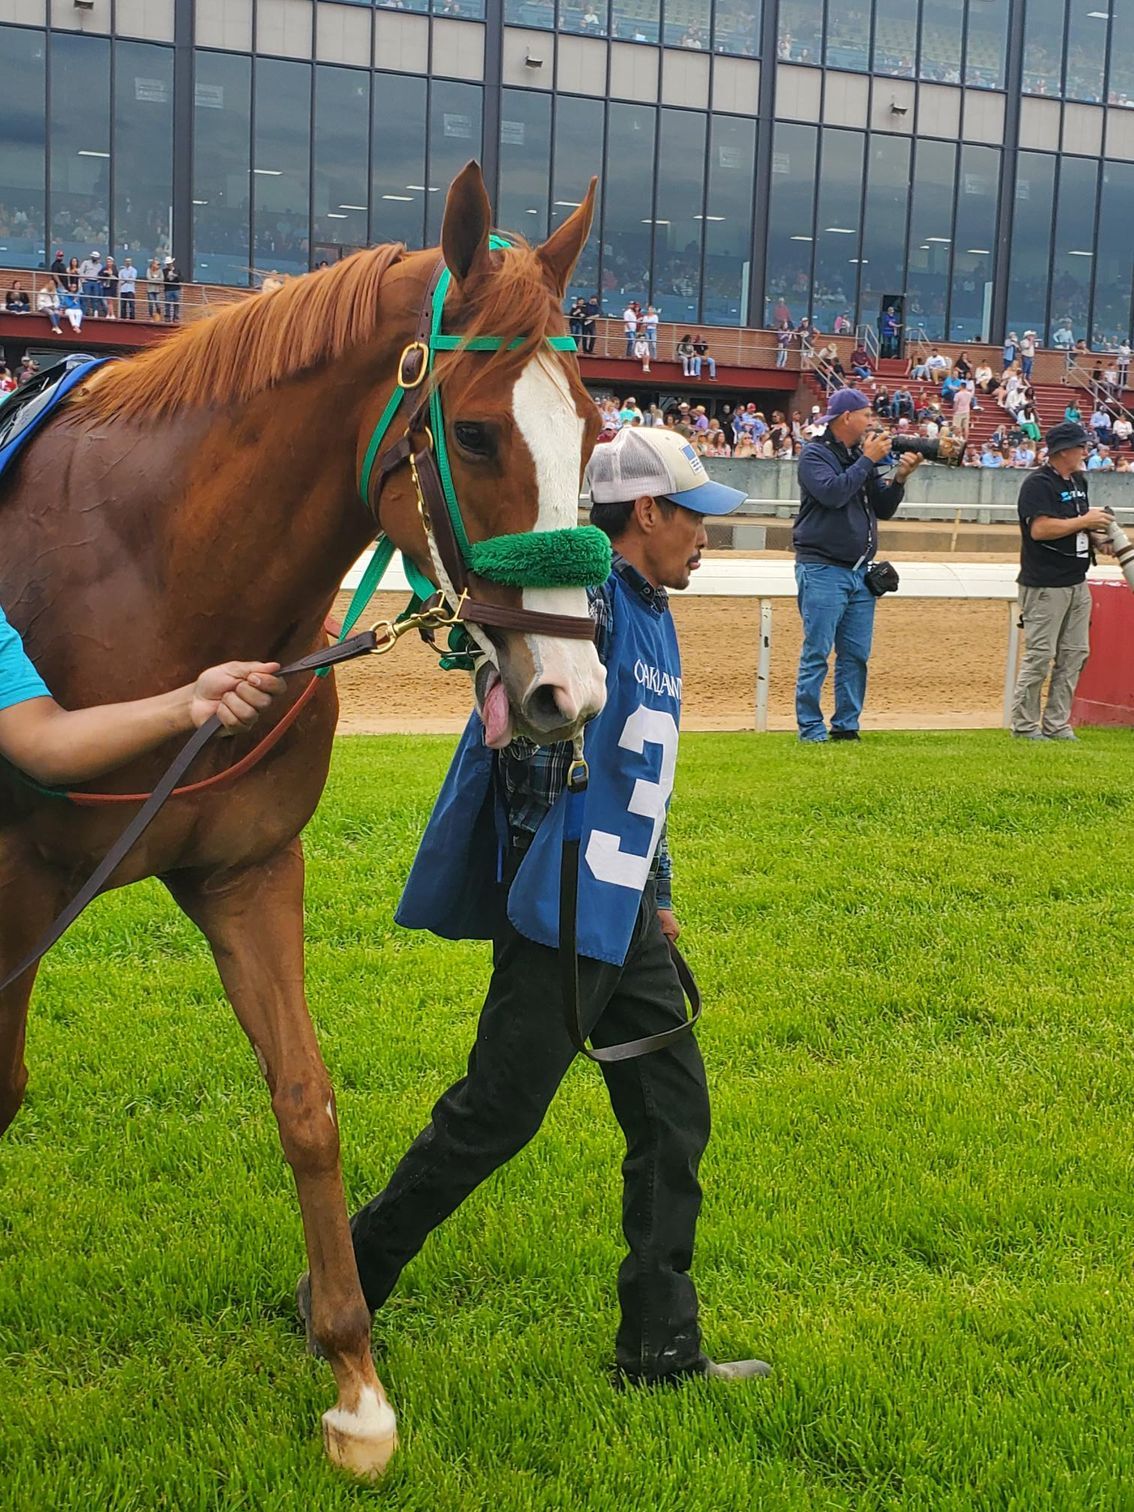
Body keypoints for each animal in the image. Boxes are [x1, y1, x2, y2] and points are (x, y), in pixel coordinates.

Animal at [0, 162, 605, 1478]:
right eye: (474, 433)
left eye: (592, 432)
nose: (569, 690)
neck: (143, 573)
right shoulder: (17, 888)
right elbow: (3, 1086)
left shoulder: (250, 873)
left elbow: (306, 1101)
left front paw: (353, 1383)